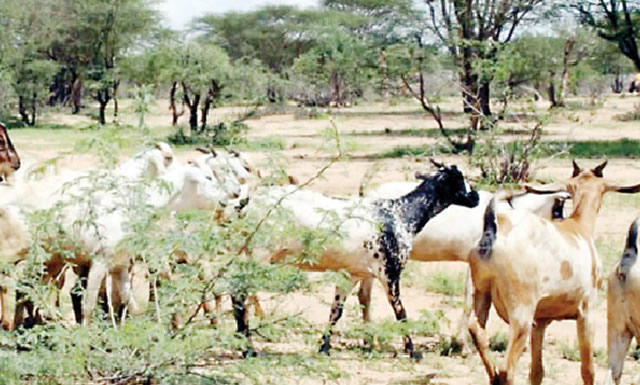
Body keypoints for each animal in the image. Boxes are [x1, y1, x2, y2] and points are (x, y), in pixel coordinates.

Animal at [464, 159, 640, 384]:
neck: (578, 227)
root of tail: (493, 232)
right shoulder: (586, 313)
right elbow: (588, 370)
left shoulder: (540, 323)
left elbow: (537, 371)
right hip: (521, 314)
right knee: (507, 370)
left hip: (482, 294)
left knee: (477, 332)